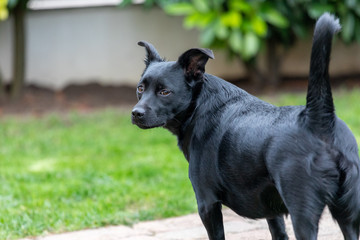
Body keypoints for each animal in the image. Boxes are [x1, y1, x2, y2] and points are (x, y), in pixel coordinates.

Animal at [131, 13, 360, 240]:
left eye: (164, 92)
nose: (135, 113)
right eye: (140, 88)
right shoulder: (271, 208)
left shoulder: (207, 203)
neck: (200, 105)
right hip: (348, 213)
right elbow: (278, 232)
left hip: (303, 212)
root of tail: (316, 117)